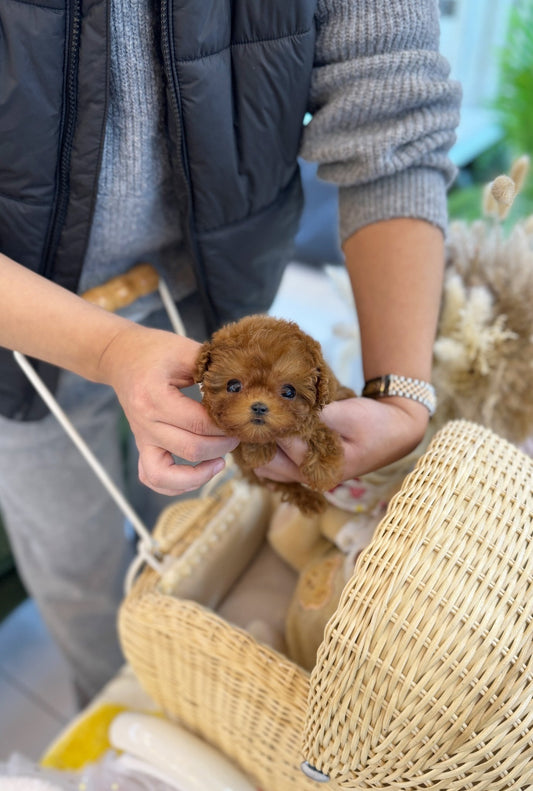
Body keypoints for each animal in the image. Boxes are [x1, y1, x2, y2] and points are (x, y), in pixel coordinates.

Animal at [195, 316, 354, 512]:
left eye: (289, 392)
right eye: (233, 386)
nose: (259, 407)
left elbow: (317, 428)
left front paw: (325, 470)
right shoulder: (250, 466)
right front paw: (259, 450)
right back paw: (310, 500)